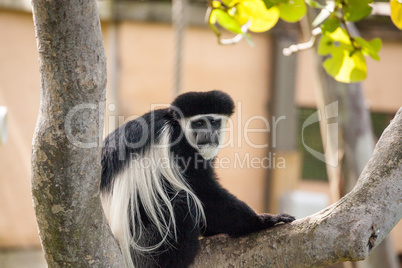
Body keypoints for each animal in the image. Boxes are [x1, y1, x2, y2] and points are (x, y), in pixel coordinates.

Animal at [100, 90, 296, 268]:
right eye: (199, 123)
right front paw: (263, 220)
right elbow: (204, 193)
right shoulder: (177, 146)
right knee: (183, 203)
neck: (177, 125)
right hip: (144, 240)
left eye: (214, 122)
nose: (208, 133)